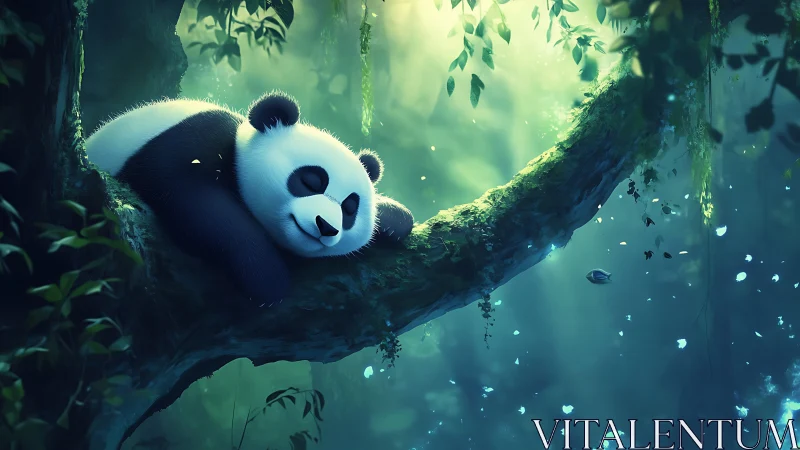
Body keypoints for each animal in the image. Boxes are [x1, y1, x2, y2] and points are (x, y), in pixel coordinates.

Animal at [85, 91, 414, 308]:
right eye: (310, 181)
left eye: (349, 208)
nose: (326, 226)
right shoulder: (184, 143)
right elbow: (195, 202)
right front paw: (267, 277)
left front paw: (394, 219)